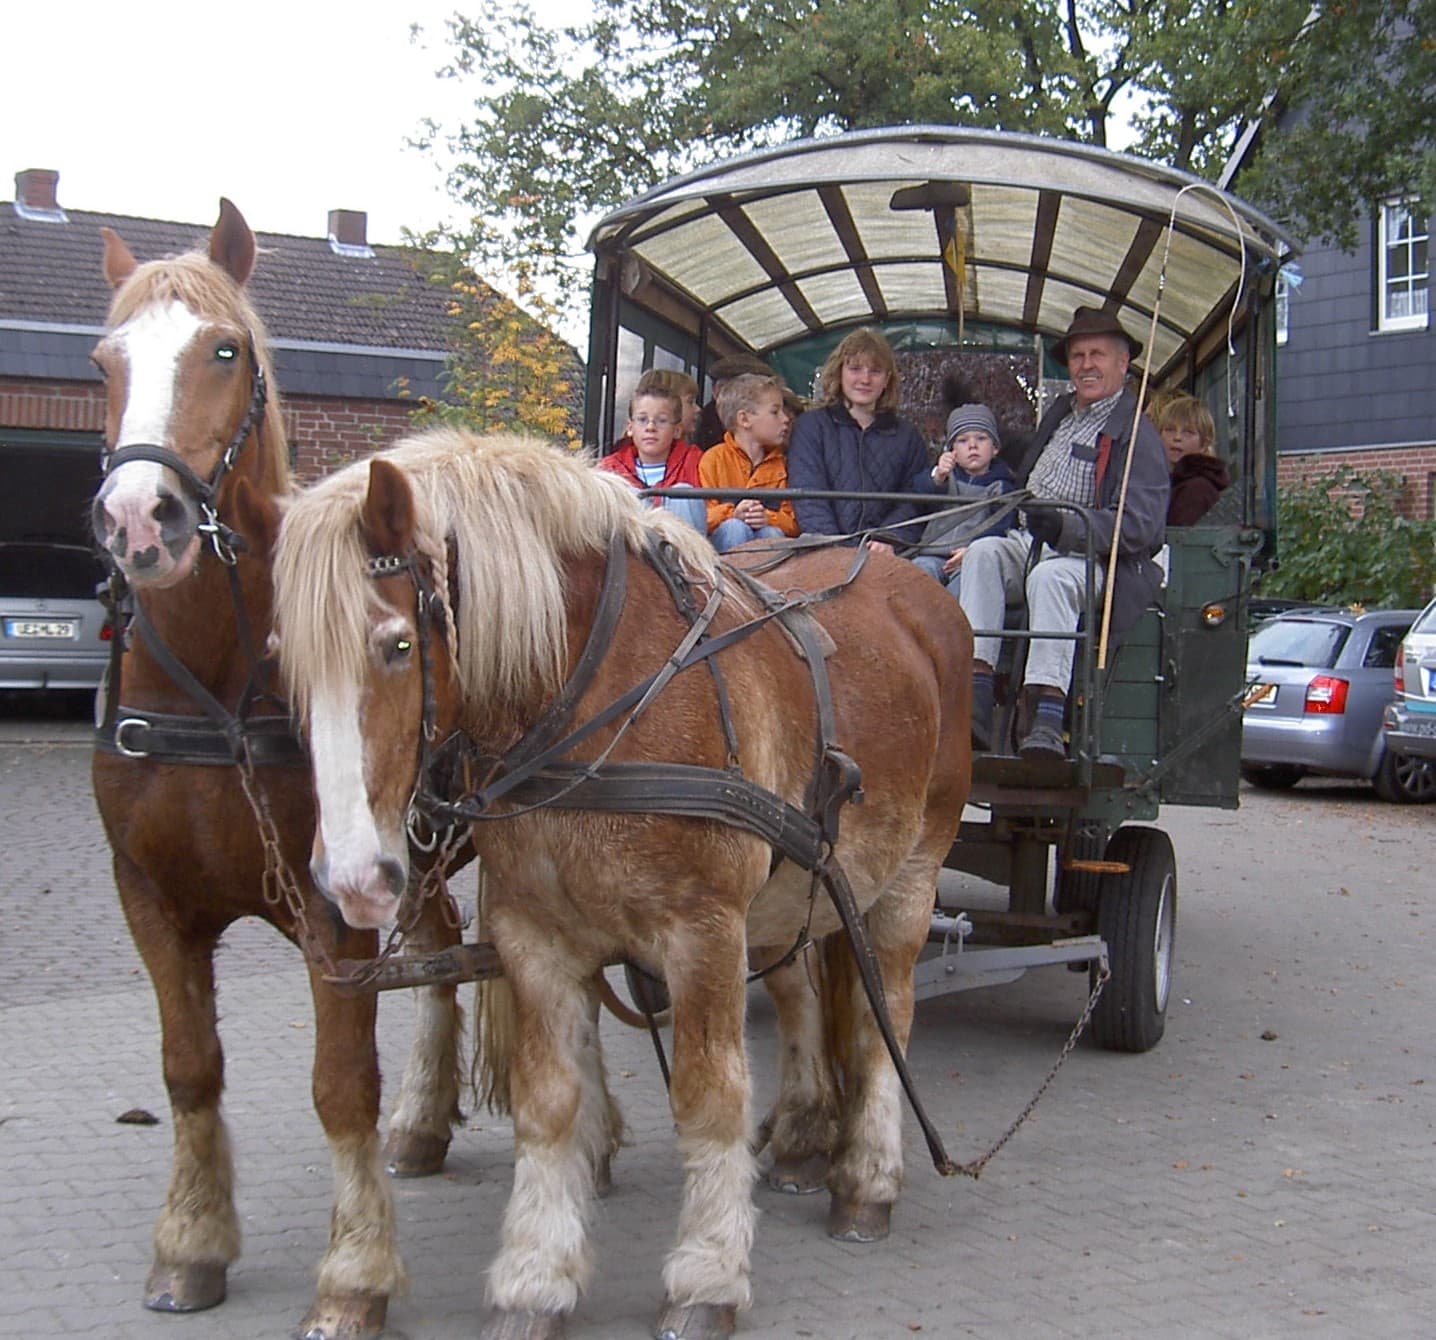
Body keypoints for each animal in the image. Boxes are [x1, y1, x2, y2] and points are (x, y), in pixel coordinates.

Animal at [86, 198, 465, 1338]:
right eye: (103, 360)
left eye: (225, 350)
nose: (139, 518)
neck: (217, 684)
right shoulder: (150, 894)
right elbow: (188, 1068)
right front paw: (191, 1240)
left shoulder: (333, 903)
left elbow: (340, 1083)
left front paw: (354, 1272)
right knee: (448, 948)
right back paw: (426, 1121)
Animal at [264, 430, 970, 1338]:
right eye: (284, 662)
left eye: (396, 644)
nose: (350, 878)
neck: (592, 699)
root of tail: (908, 580)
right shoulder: (536, 938)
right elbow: (549, 1102)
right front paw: (535, 1278)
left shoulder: (704, 933)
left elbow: (710, 1099)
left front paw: (706, 1277)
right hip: (797, 892)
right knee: (805, 991)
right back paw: (806, 1137)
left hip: (912, 871)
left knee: (892, 1015)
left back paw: (866, 1179)